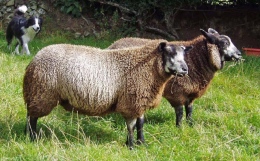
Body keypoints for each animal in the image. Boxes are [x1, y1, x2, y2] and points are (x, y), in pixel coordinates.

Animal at [22, 41, 193, 149]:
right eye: (169, 53)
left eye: (184, 55)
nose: (185, 70)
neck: (147, 67)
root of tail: (34, 59)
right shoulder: (130, 102)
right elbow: (131, 126)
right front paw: (131, 146)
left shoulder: (139, 101)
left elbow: (140, 124)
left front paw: (141, 143)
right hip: (42, 93)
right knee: (32, 117)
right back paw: (33, 138)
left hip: (37, 93)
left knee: (30, 115)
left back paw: (28, 135)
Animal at [106, 27, 243, 143]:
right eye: (224, 43)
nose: (239, 54)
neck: (195, 59)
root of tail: (114, 44)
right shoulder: (178, 93)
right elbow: (180, 112)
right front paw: (179, 128)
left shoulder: (190, 94)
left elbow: (190, 110)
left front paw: (190, 125)